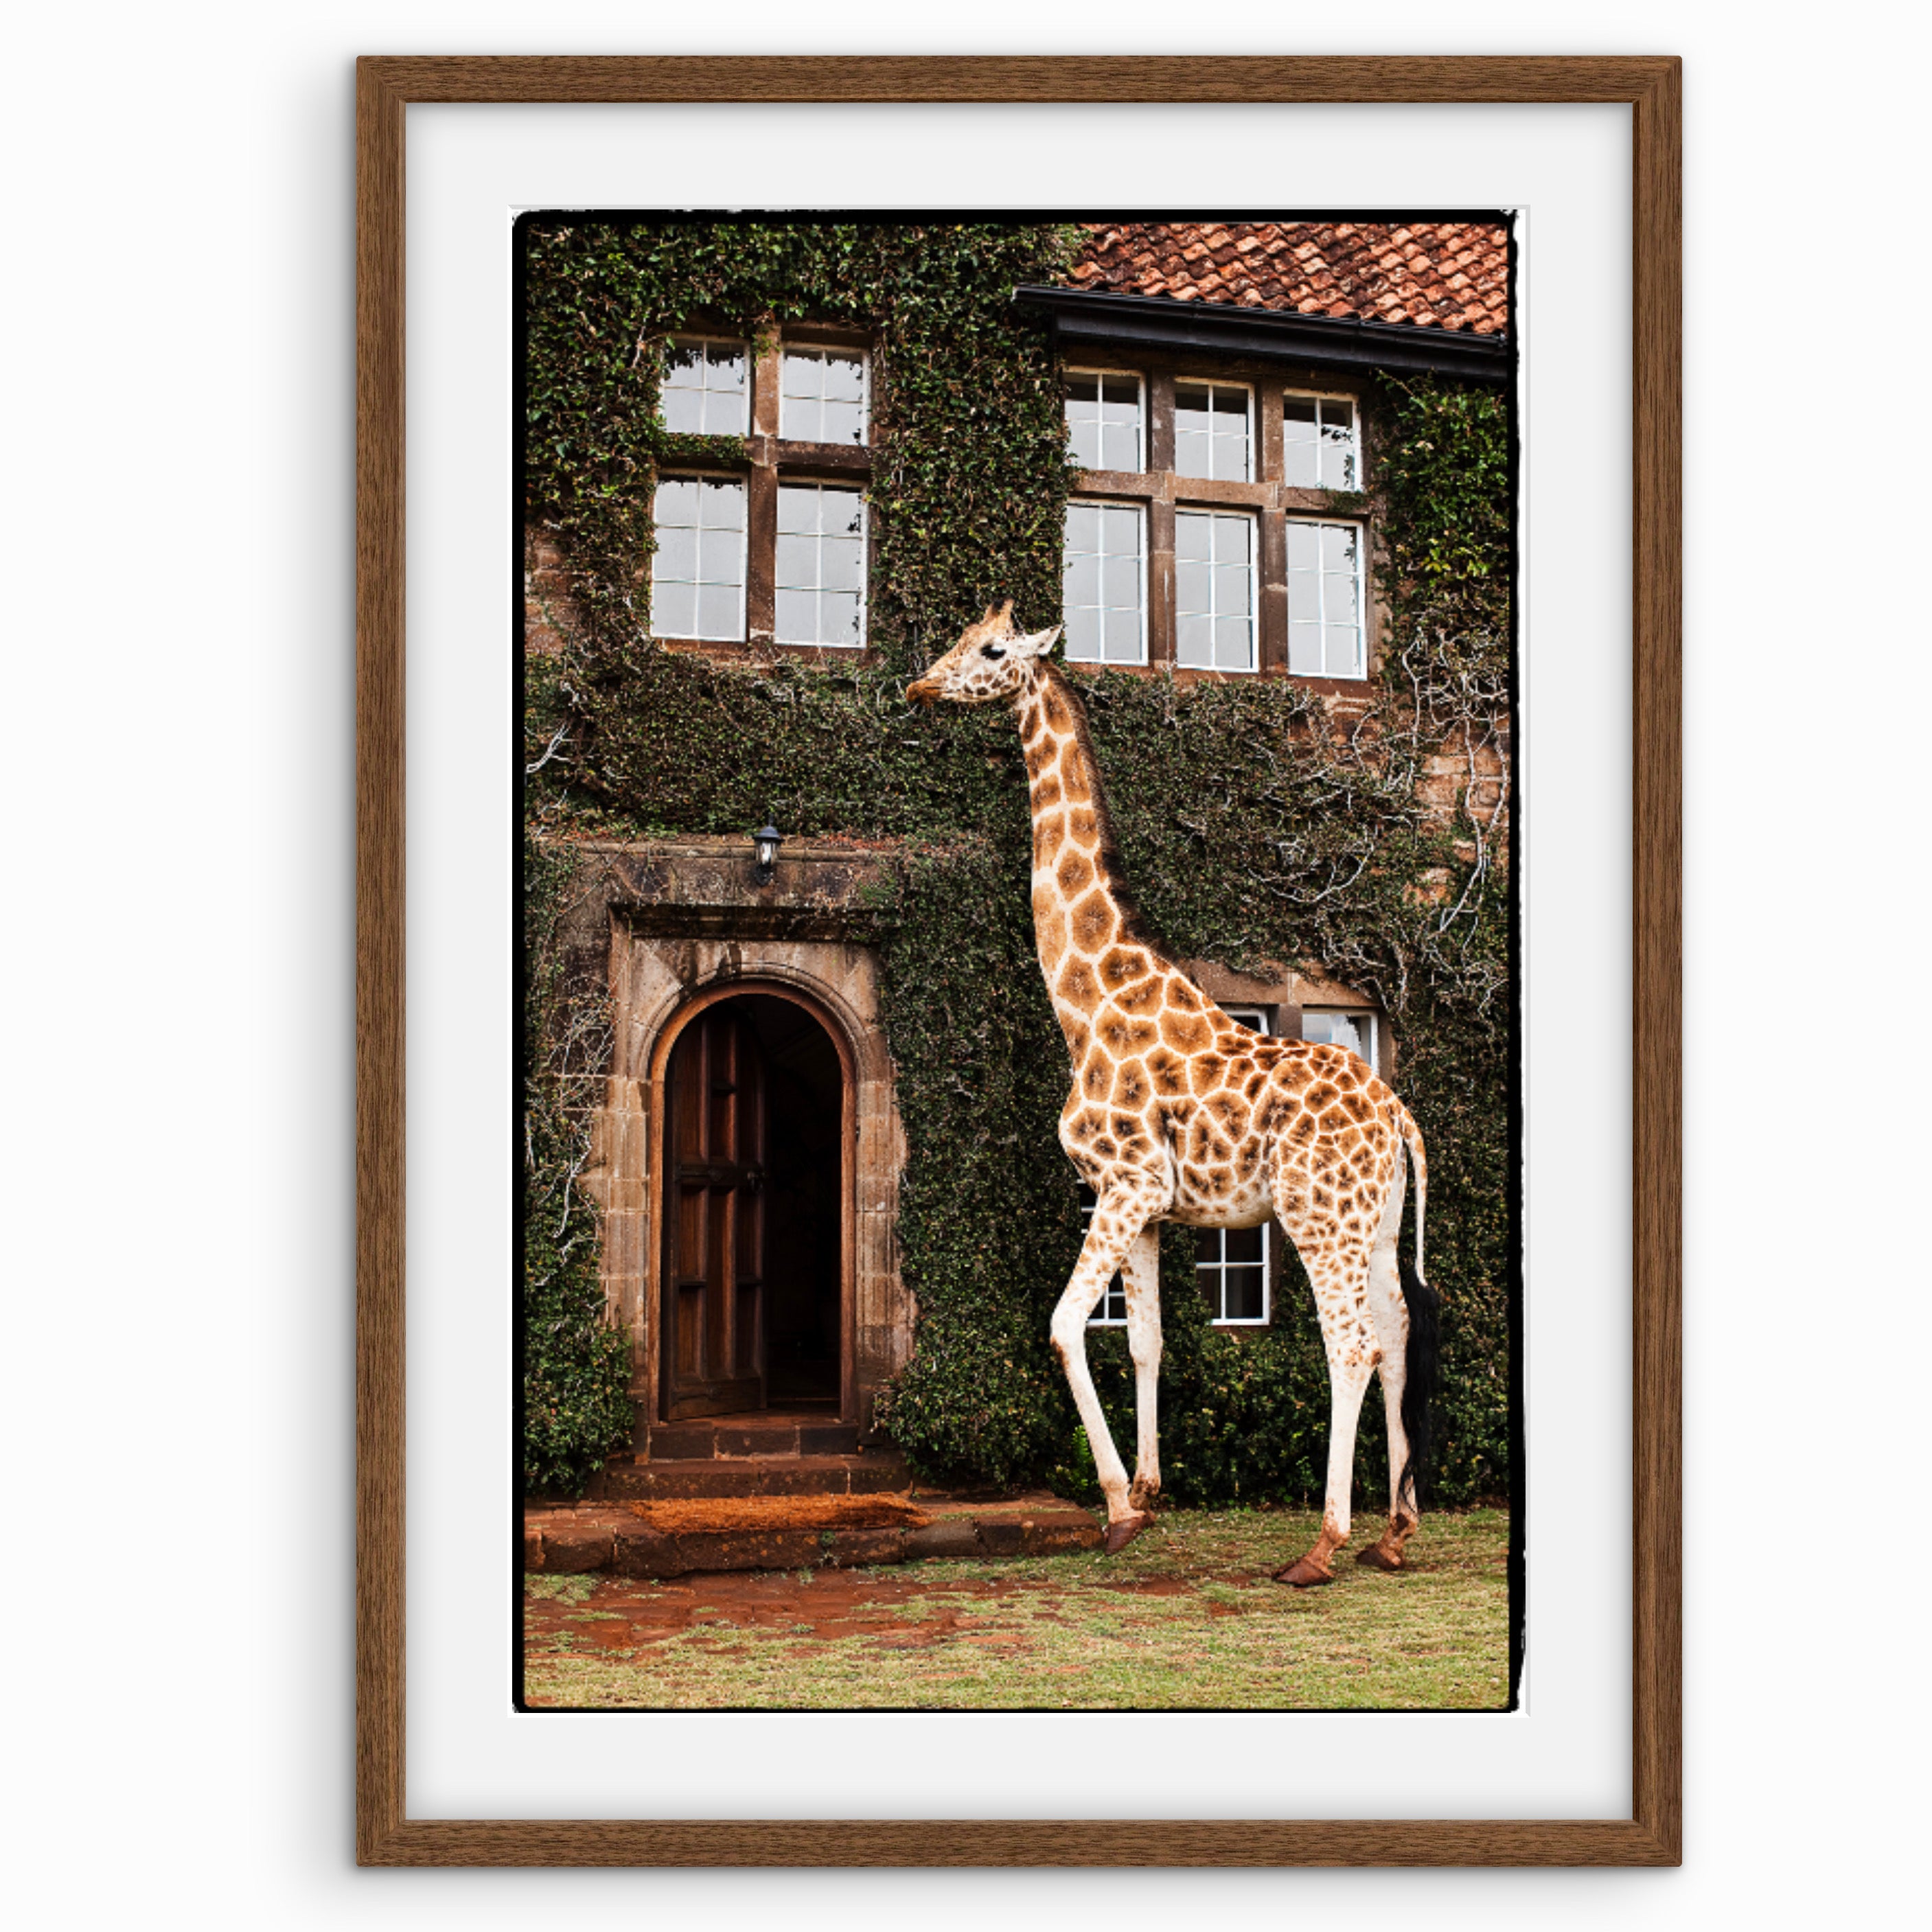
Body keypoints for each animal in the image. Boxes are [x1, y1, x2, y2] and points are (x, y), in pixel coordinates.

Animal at [907, 603, 1440, 1585]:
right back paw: (1394, 1531)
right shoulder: (1150, 1208)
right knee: (1394, 1335)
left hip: (1318, 1218)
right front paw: (1153, 1493)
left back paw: (1322, 1544)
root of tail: (1399, 1117)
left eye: (990, 650)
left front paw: (1117, 1507)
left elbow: (1063, 1327)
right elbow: (1144, 1340)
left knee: (1350, 1345)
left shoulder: (1125, 1185)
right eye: (959, 638)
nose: (924, 685)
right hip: (1376, 1222)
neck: (1087, 1004)